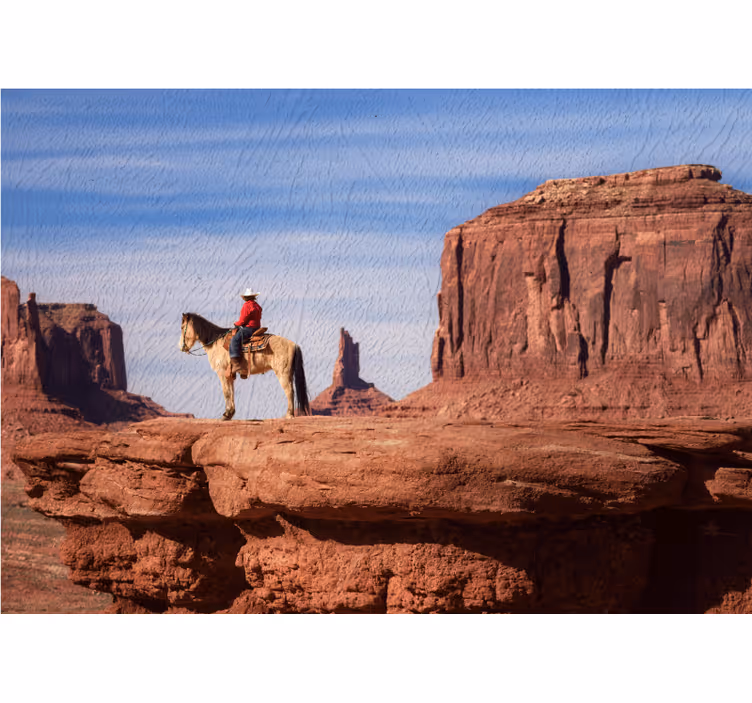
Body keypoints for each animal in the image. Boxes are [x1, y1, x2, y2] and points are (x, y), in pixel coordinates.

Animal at [179, 312, 310, 420]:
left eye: (182, 327)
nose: (181, 347)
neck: (215, 342)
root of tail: (294, 344)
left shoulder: (222, 373)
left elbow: (226, 392)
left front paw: (225, 415)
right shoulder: (230, 374)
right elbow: (231, 392)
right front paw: (230, 414)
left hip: (283, 373)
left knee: (289, 391)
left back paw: (289, 415)